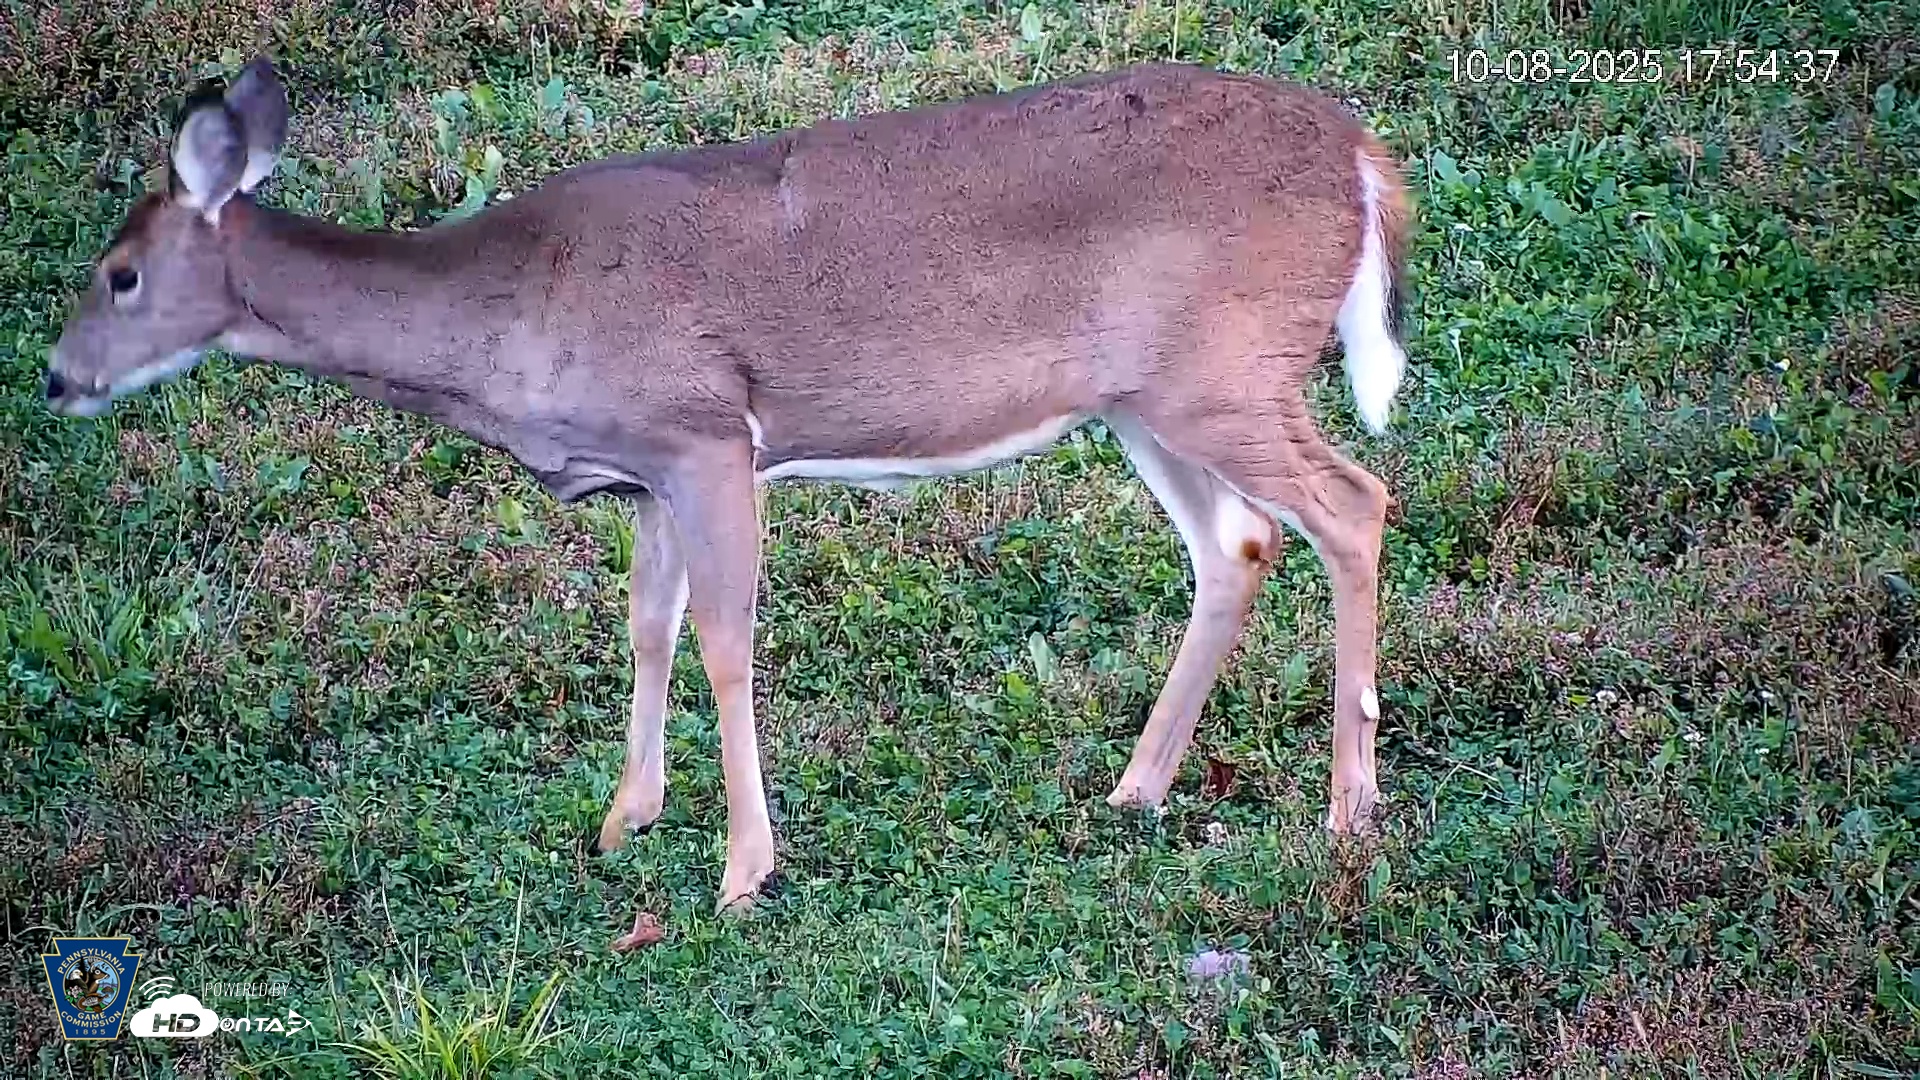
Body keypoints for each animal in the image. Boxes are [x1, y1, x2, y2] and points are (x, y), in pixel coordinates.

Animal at [45, 56, 1412, 914]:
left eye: (118, 274)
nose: (55, 378)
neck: (507, 317)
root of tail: (1363, 156)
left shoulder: (705, 433)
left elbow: (725, 639)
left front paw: (744, 868)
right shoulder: (644, 471)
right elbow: (647, 627)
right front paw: (624, 819)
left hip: (1224, 369)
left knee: (1353, 503)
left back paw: (1349, 808)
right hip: (1147, 396)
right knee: (1239, 543)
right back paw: (1137, 788)